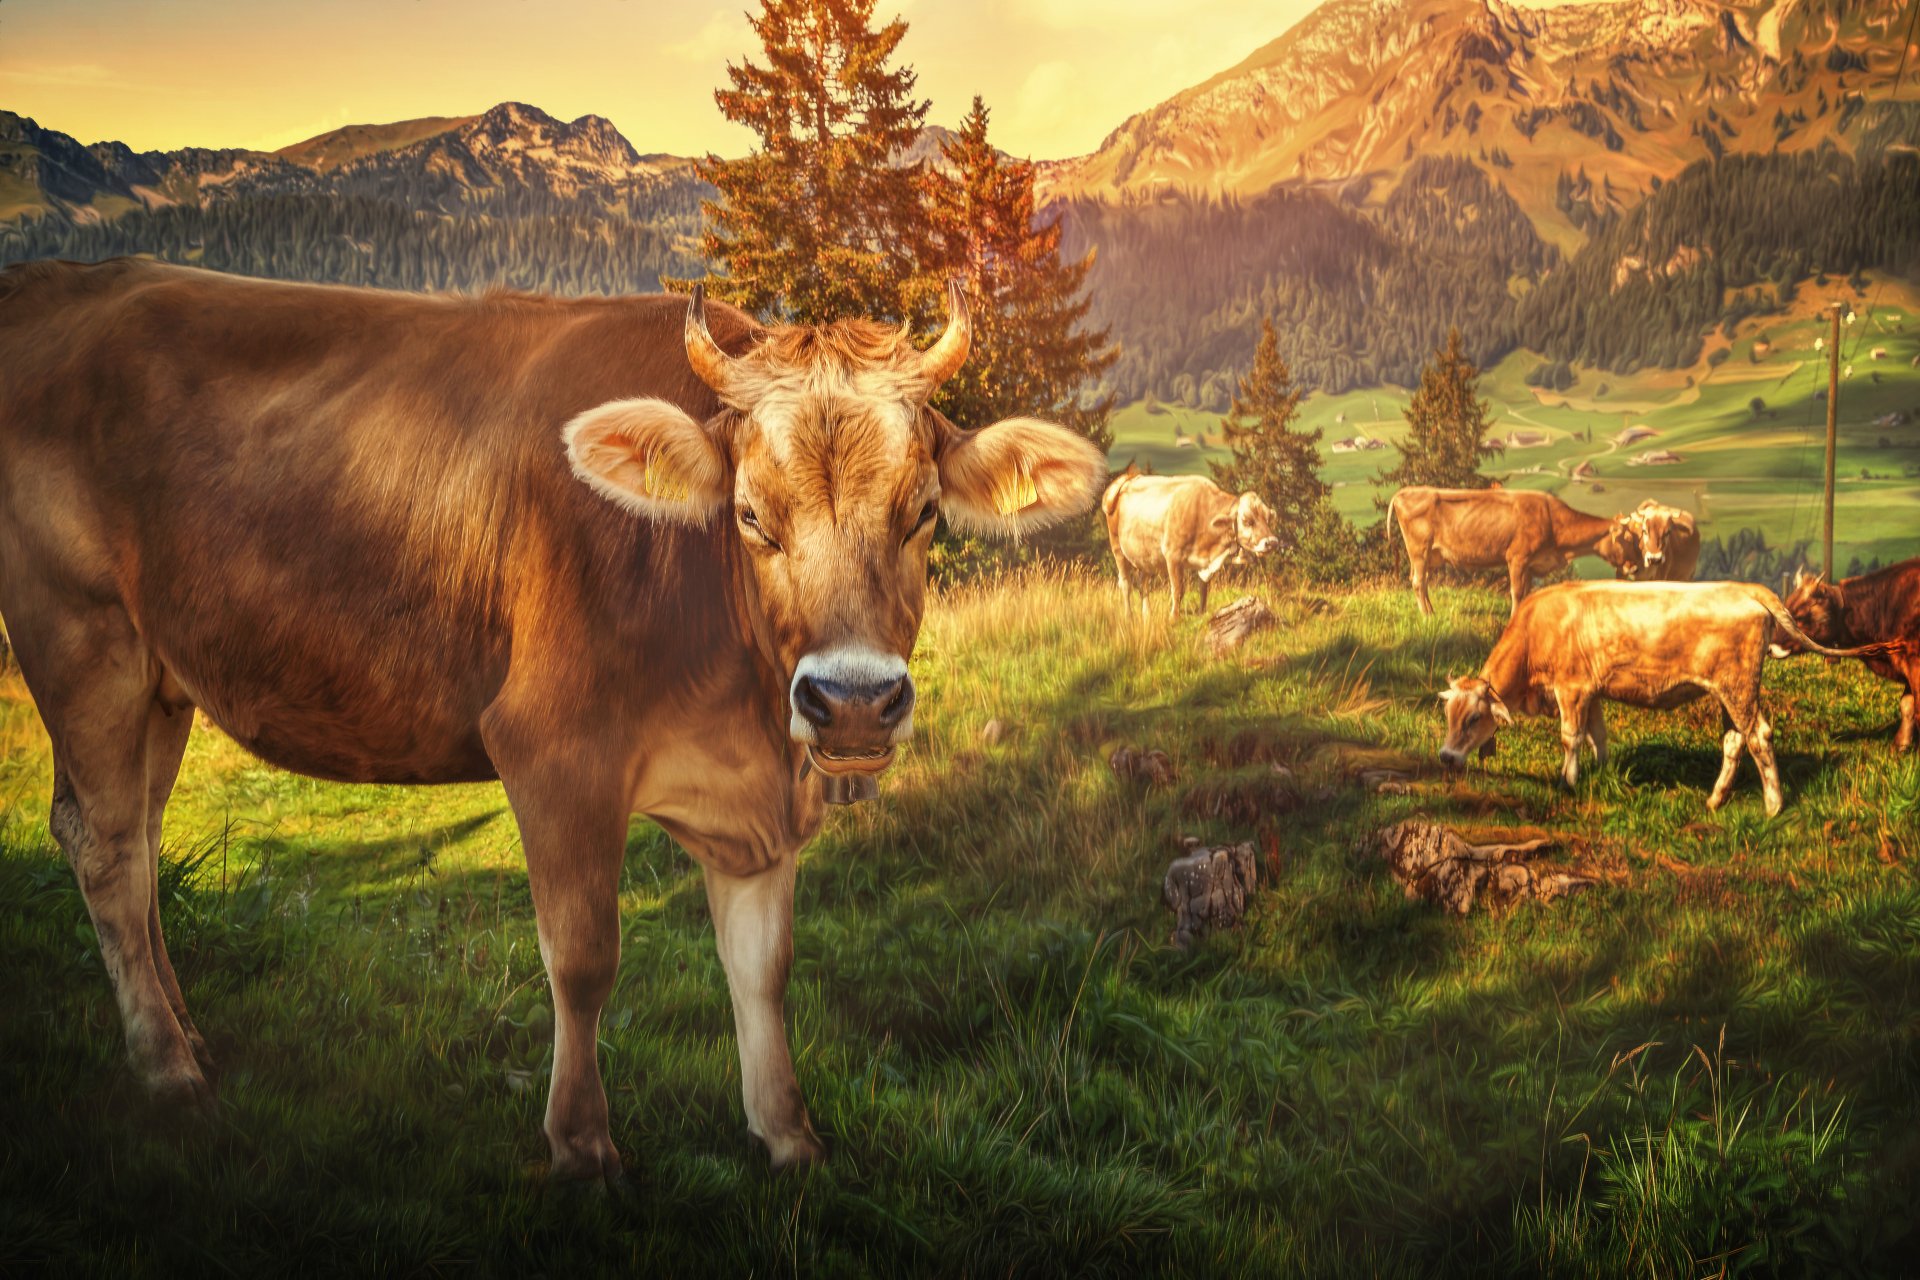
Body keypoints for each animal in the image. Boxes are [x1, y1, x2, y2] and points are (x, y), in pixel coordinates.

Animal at [0, 258, 1107, 1181]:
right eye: (752, 515)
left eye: (921, 512)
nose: (853, 701)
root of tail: (59, 280)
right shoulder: (554, 750)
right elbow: (584, 957)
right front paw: (580, 1143)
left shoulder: (757, 796)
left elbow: (764, 964)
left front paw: (788, 1134)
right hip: (80, 636)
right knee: (105, 845)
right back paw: (167, 1068)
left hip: (160, 677)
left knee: (142, 843)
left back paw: (188, 1034)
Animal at [1101, 472, 1280, 617]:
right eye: (1247, 520)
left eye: (1268, 519)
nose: (1271, 542)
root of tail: (1129, 479)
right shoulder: (1173, 557)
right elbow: (1178, 590)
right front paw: (1174, 618)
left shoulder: (1204, 563)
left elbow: (1203, 589)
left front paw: (1202, 613)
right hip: (1117, 547)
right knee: (1125, 583)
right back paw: (1129, 617)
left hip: (1145, 556)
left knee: (1142, 584)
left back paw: (1147, 616)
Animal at [1388, 486, 1641, 615]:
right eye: (1629, 538)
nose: (1636, 566)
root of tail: (1405, 491)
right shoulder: (1518, 558)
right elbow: (1517, 592)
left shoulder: (1530, 564)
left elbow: (1527, 592)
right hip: (1419, 550)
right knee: (1418, 582)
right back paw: (1427, 615)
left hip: (1426, 554)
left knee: (1421, 581)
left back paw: (1431, 611)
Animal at [1434, 580, 1877, 816]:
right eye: (1448, 715)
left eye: (1473, 718)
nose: (1446, 757)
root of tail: (1744, 588)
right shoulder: (1592, 692)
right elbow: (1598, 735)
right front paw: (1602, 772)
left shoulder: (1571, 689)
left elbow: (1570, 738)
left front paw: (1568, 782)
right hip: (1728, 693)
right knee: (1734, 741)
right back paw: (1715, 799)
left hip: (1739, 689)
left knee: (1759, 736)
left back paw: (1773, 805)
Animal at [1781, 561, 1920, 751]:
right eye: (1786, 604)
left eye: (1800, 616)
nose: (1770, 643)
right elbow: (1907, 705)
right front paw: (1902, 744)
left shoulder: (1915, 666)